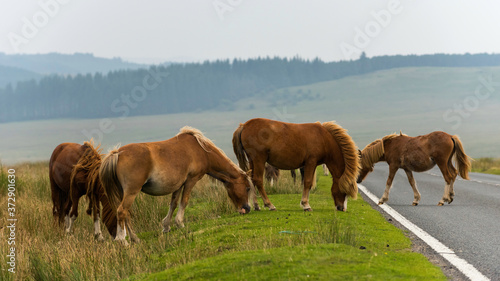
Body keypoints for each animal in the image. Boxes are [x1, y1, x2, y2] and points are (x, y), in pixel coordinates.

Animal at [99, 126, 254, 244]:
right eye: (247, 188)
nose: (247, 208)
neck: (202, 150)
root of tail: (117, 153)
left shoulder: (178, 185)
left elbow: (173, 204)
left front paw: (166, 226)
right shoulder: (191, 180)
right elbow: (184, 201)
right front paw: (179, 223)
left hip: (123, 192)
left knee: (125, 214)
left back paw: (135, 238)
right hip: (131, 191)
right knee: (121, 211)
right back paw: (122, 240)